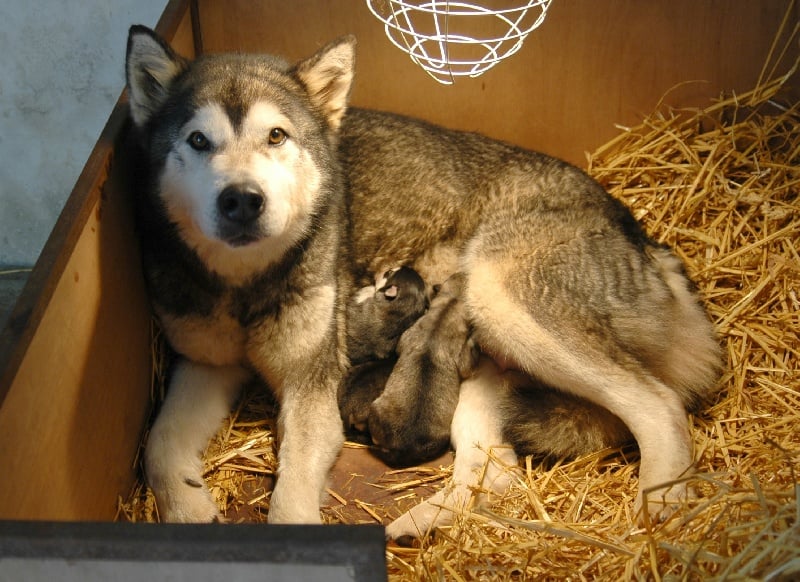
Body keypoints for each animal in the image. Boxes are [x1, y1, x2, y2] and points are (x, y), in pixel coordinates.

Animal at [128, 26, 720, 540]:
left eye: (276, 135)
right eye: (198, 140)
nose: (243, 200)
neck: (245, 285)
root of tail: (644, 239)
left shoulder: (310, 388)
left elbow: (290, 500)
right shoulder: (205, 364)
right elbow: (158, 444)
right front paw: (187, 511)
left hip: (501, 299)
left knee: (662, 405)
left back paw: (662, 508)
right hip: (483, 371)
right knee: (495, 474)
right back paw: (417, 525)